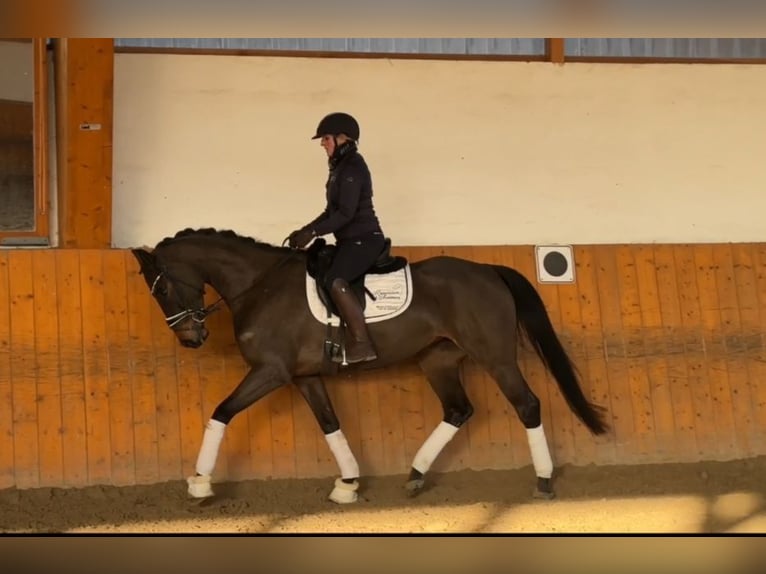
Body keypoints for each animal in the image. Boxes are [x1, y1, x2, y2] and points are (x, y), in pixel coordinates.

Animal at [134, 227, 612, 506]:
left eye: (162, 289)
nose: (190, 338)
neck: (259, 285)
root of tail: (488, 270)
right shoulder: (306, 377)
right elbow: (330, 424)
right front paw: (347, 484)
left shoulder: (272, 372)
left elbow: (221, 412)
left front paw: (199, 483)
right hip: (438, 360)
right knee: (459, 410)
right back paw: (416, 476)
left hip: (494, 357)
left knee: (527, 405)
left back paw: (544, 482)